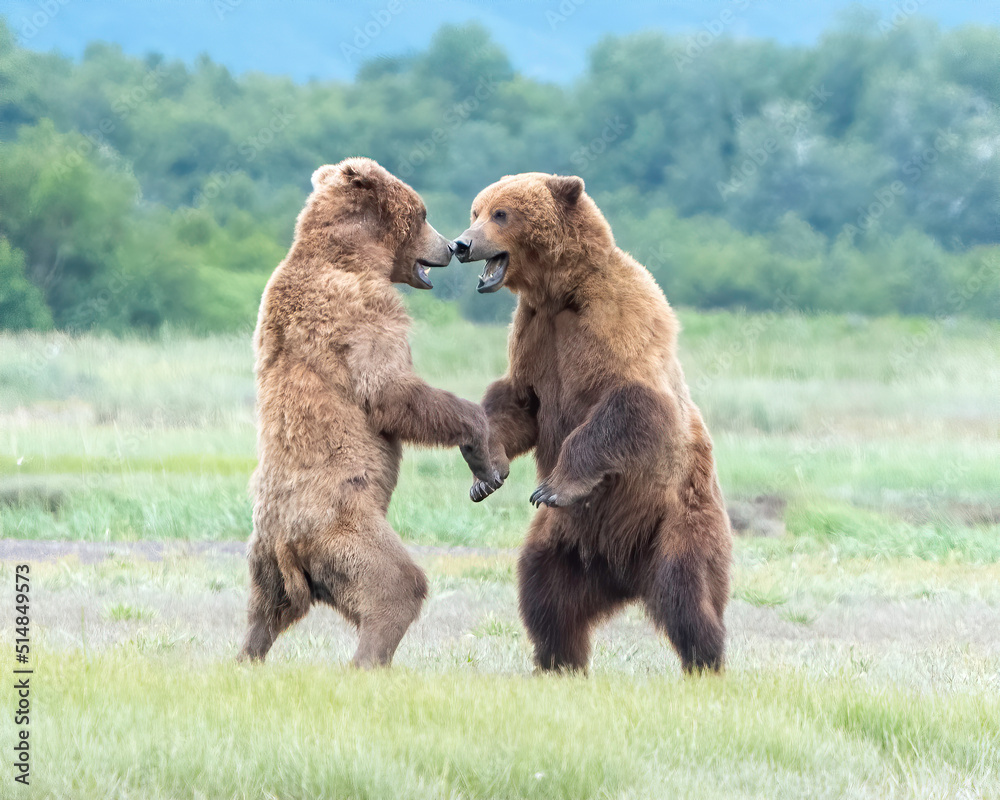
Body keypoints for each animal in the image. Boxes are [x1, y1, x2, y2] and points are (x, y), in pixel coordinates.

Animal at [239, 157, 503, 668]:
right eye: (423, 213)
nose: (450, 246)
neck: (355, 257)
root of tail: (284, 540)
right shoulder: (362, 311)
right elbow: (391, 393)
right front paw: (484, 459)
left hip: (264, 561)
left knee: (263, 613)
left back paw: (246, 655)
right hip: (346, 528)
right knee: (395, 584)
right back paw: (369, 660)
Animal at [453, 172, 733, 674]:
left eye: (502, 213)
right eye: (476, 210)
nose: (461, 244)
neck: (559, 294)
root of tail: (624, 573)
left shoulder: (615, 318)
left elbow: (631, 403)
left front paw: (552, 487)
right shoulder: (534, 335)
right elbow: (518, 402)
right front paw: (485, 472)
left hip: (677, 519)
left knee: (687, 592)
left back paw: (705, 662)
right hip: (565, 542)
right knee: (545, 594)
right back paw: (558, 662)